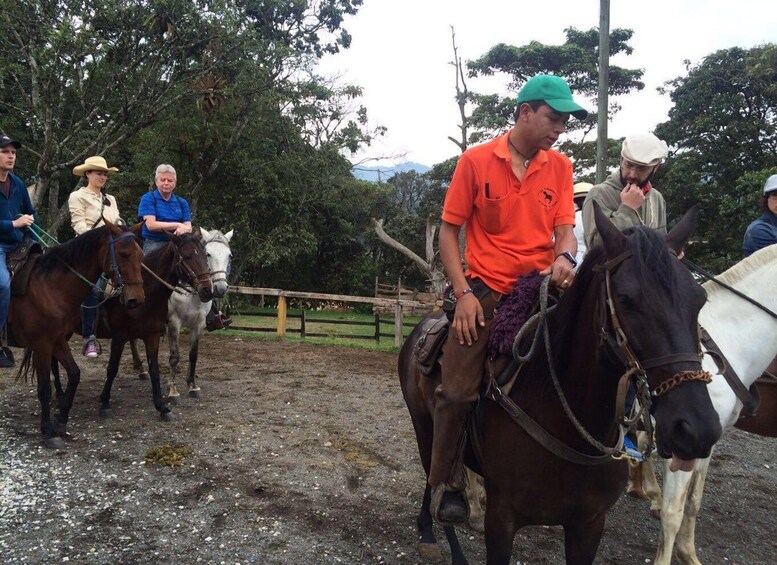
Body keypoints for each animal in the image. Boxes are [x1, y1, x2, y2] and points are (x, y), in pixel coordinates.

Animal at [12, 223, 145, 448]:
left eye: (141, 255)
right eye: (124, 254)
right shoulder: (42, 343)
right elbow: (44, 388)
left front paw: (62, 416)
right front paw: (49, 431)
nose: (137, 299)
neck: (48, 287)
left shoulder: (56, 338)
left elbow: (74, 374)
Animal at [130, 227, 232, 398]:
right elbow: (174, 356)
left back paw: (142, 370)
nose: (220, 288)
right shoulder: (174, 323)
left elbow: (193, 355)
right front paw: (173, 389)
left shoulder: (198, 324)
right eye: (208, 254)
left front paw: (192, 386)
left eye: (229, 255)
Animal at [400, 206, 720, 564]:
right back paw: (433, 534)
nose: (696, 429)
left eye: (699, 299)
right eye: (626, 299)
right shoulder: (501, 520)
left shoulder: (589, 524)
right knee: (434, 479)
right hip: (424, 426)